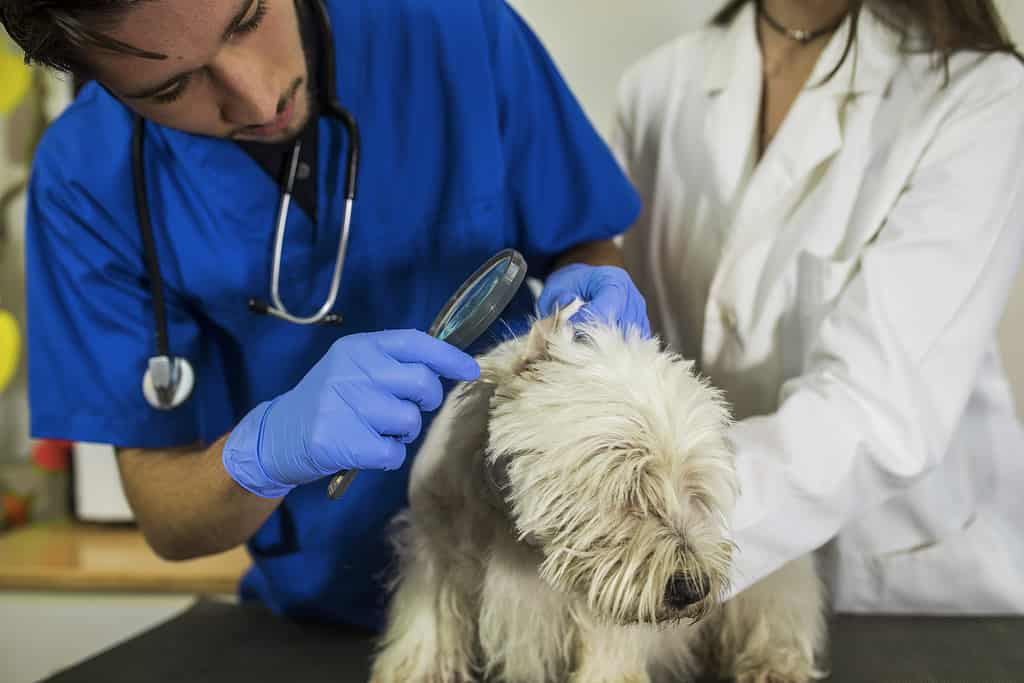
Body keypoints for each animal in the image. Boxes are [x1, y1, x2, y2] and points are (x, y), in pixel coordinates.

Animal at [368, 305, 823, 683]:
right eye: (628, 486)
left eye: (695, 488)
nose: (693, 589)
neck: (513, 532)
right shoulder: (434, 549)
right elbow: (424, 635)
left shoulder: (604, 609)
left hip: (779, 577)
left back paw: (772, 667)